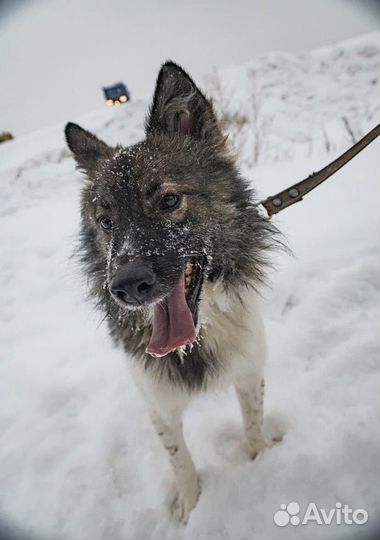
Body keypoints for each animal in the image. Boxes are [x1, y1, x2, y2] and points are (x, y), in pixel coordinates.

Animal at [64, 61, 280, 524]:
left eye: (168, 201)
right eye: (105, 221)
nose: (127, 287)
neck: (195, 342)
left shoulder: (249, 369)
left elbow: (253, 421)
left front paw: (262, 459)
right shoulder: (158, 403)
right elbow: (179, 458)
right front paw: (189, 506)